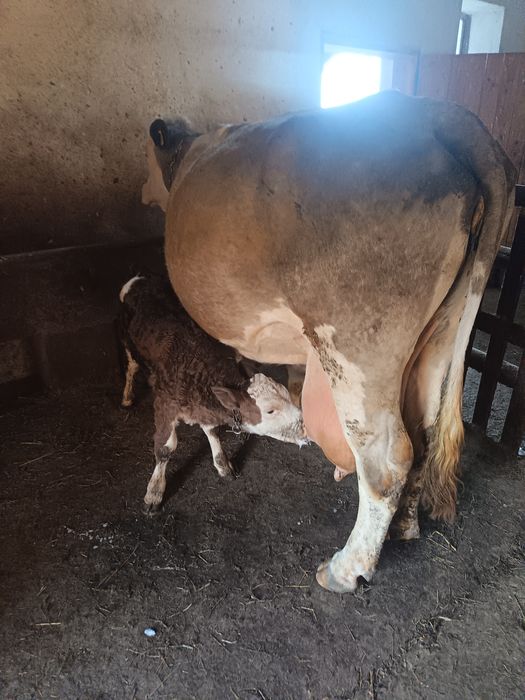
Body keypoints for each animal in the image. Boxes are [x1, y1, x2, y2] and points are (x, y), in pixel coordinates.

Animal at [141, 91, 516, 592]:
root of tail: (436, 112)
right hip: (442, 334)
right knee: (425, 428)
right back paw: (403, 527)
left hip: (356, 347)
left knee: (387, 457)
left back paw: (347, 567)